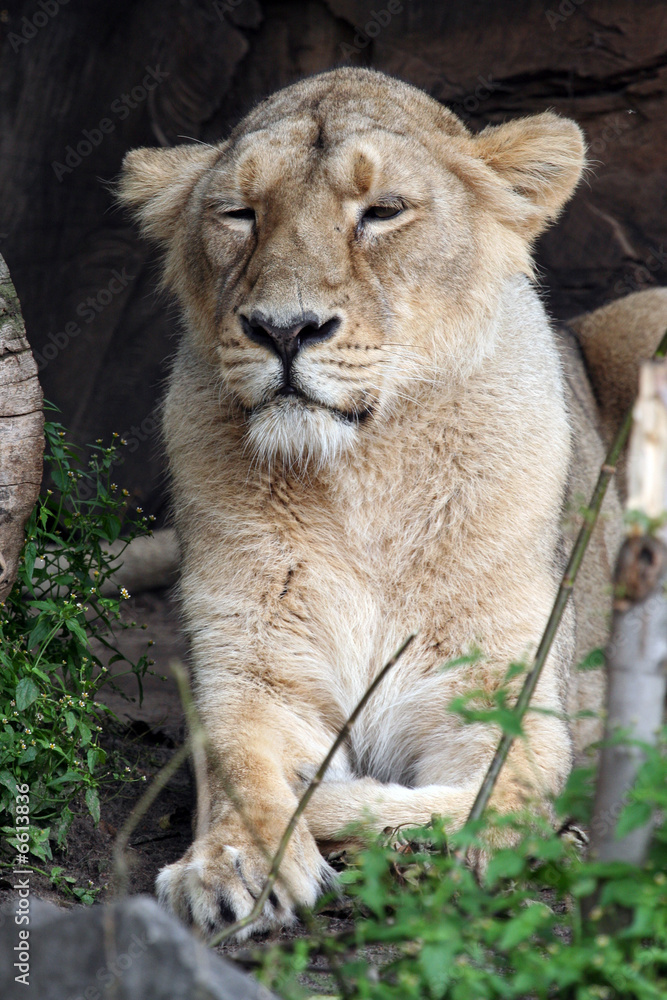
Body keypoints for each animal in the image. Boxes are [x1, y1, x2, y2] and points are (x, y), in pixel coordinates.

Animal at [117, 67, 667, 938]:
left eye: (382, 211)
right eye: (238, 213)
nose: (283, 330)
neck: (361, 480)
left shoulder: (502, 701)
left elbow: (476, 811)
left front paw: (324, 811)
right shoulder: (253, 668)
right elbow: (234, 756)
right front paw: (230, 863)